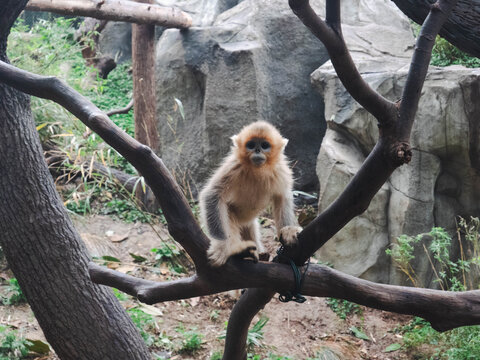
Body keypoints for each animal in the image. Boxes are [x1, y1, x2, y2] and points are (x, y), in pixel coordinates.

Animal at [201, 121, 302, 268]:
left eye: (264, 145)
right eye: (251, 145)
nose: (257, 150)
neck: (257, 169)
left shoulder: (280, 170)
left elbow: (282, 197)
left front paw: (288, 230)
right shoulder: (234, 166)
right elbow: (212, 195)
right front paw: (221, 247)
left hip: (249, 225)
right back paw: (239, 251)